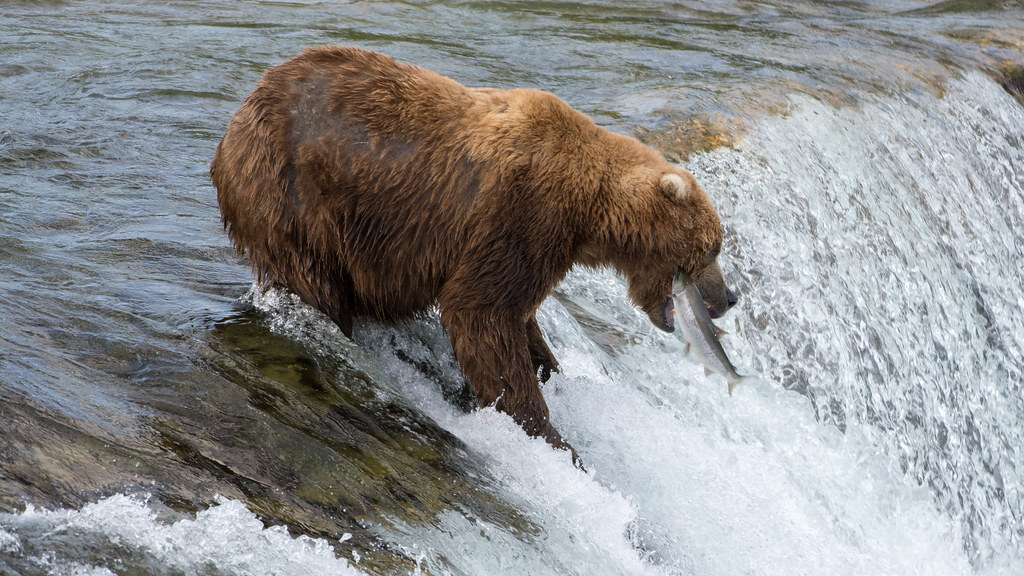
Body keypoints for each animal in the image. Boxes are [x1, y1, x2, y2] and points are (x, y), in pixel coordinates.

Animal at [209, 45, 737, 461]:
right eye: (712, 247)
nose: (728, 297)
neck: (589, 210)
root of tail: (243, 109)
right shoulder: (520, 213)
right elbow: (482, 313)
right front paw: (549, 433)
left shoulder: (538, 245)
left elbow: (519, 316)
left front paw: (548, 368)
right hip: (293, 192)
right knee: (313, 281)